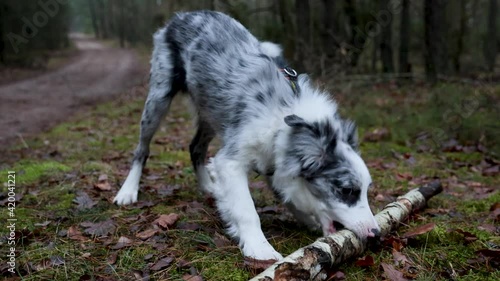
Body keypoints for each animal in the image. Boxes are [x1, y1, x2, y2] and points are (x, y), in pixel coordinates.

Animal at [113, 10, 378, 260]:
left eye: (366, 189)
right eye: (346, 190)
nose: (377, 234)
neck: (285, 118)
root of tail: (182, 16)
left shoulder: (274, 158)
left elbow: (287, 195)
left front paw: (305, 220)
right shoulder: (231, 160)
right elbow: (246, 209)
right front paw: (259, 249)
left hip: (210, 114)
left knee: (195, 147)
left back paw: (209, 187)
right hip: (158, 98)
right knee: (142, 149)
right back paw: (127, 191)